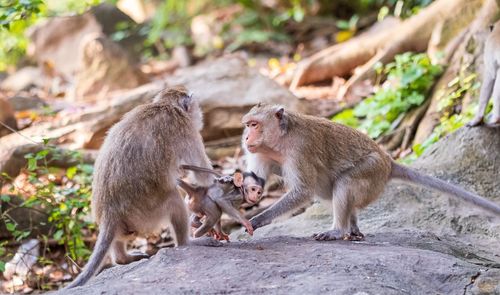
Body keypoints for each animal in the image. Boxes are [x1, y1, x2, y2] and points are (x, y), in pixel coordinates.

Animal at [67, 85, 221, 290]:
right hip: (147, 214)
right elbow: (203, 177)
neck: (165, 105)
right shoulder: (187, 131)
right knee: (173, 199)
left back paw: (122, 259)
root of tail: (109, 212)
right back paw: (187, 243)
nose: (201, 117)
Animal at [241, 104, 500, 243]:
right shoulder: (261, 152)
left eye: (254, 125)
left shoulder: (300, 149)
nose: (245, 138)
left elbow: (303, 191)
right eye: (247, 125)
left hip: (373, 170)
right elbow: (257, 181)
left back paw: (339, 230)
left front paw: (257, 219)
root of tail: (388, 160)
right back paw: (353, 227)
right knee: (329, 189)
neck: (281, 141)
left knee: (343, 182)